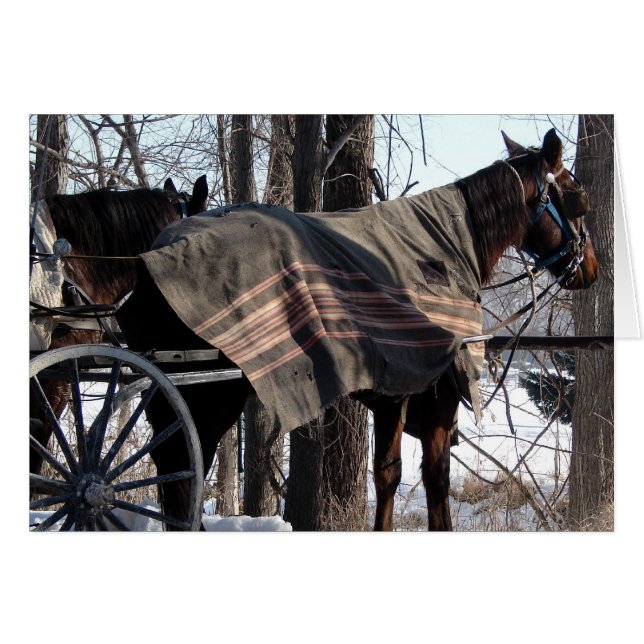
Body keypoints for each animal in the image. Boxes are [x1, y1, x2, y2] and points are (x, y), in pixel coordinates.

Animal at [116, 128, 599, 531]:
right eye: (577, 195)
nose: (590, 268)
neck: (442, 246)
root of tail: (156, 254)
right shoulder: (434, 394)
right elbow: (434, 478)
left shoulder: (392, 395)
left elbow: (387, 475)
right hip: (208, 395)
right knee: (181, 465)